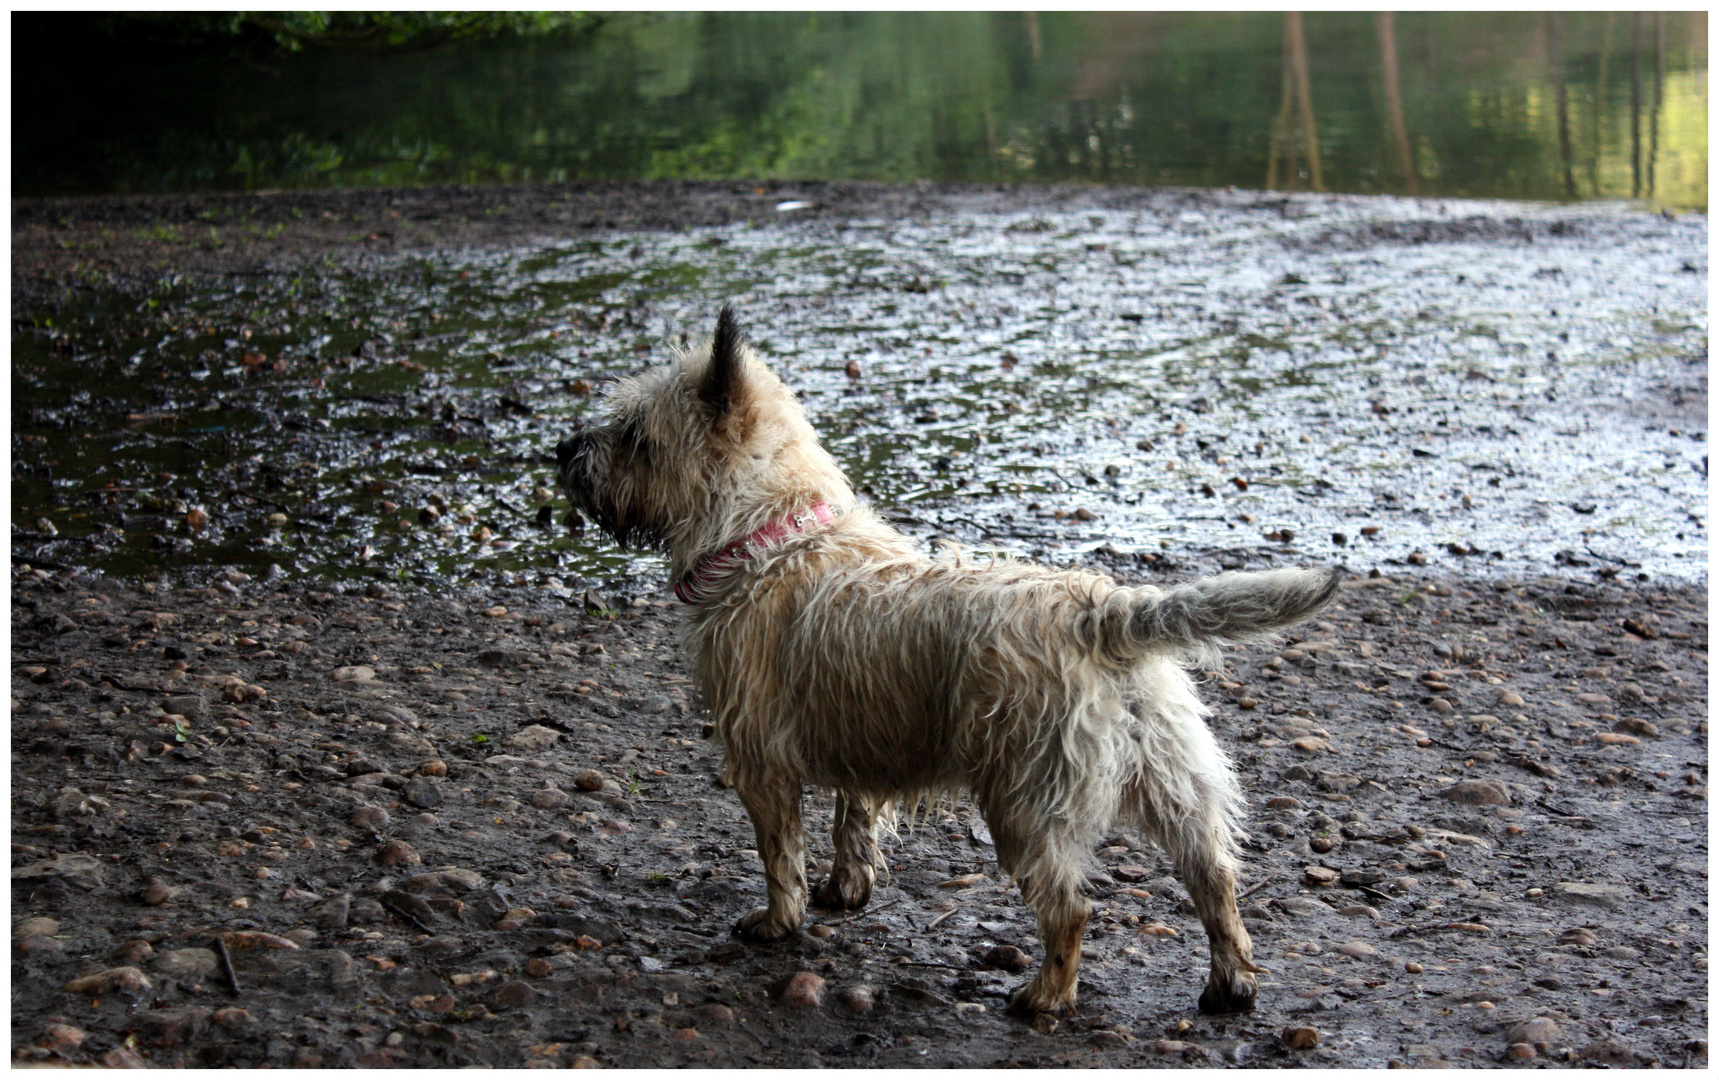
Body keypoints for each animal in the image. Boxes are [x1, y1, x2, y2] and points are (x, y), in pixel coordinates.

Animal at [556, 307, 1333, 1018]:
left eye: (634, 435)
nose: (562, 450)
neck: (769, 534)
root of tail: (1102, 610)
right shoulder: (857, 738)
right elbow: (851, 821)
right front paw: (846, 890)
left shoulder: (758, 758)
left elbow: (779, 853)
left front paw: (779, 922)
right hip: (1174, 785)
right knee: (1215, 878)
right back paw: (1230, 983)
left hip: (1022, 802)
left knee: (1070, 908)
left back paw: (1043, 997)